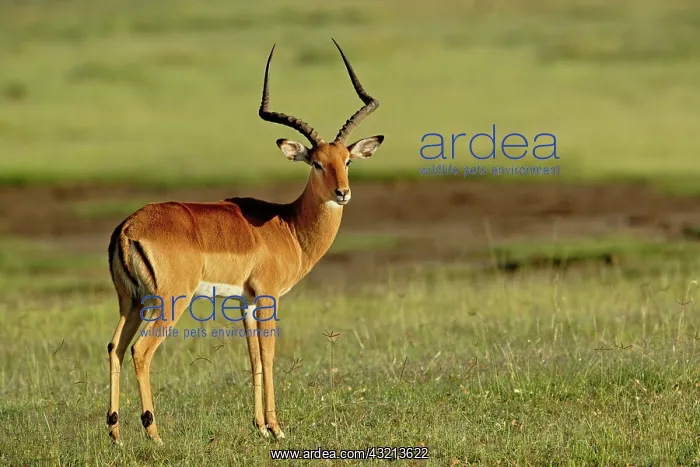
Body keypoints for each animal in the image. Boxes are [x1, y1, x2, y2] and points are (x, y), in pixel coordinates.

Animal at [105, 38, 384, 445]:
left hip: (132, 301)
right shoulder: (268, 295)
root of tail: (128, 226)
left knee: (115, 347)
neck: (289, 226)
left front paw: (261, 427)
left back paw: (115, 432)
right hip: (169, 300)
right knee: (141, 350)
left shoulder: (244, 300)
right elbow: (268, 354)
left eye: (347, 160)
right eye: (316, 162)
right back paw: (153, 433)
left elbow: (252, 356)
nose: (342, 193)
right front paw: (278, 429)